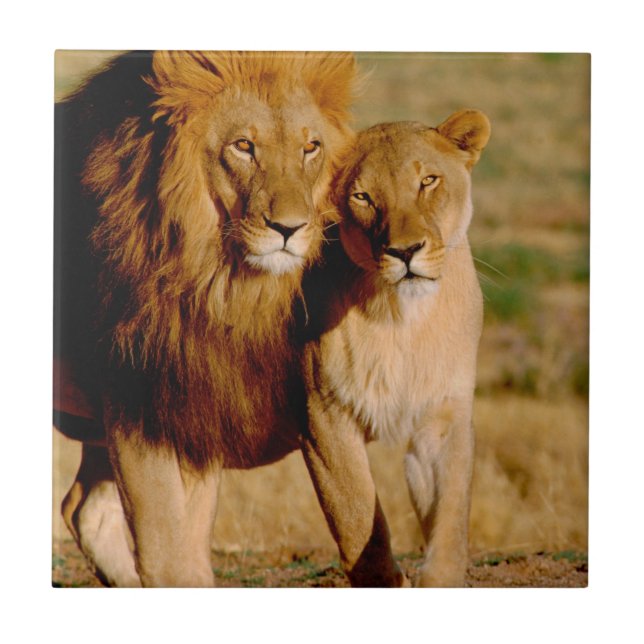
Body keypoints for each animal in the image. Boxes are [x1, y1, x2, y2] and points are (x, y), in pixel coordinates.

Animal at [54, 50, 357, 587]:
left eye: (311, 148)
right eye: (243, 146)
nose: (291, 228)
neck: (217, 283)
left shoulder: (195, 409)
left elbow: (189, 557)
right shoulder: (136, 409)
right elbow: (167, 555)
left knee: (84, 508)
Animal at [300, 110, 491, 587]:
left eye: (428, 181)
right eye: (363, 197)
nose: (405, 252)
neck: (402, 320)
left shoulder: (443, 414)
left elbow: (451, 517)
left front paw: (440, 579)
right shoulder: (323, 418)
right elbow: (356, 521)